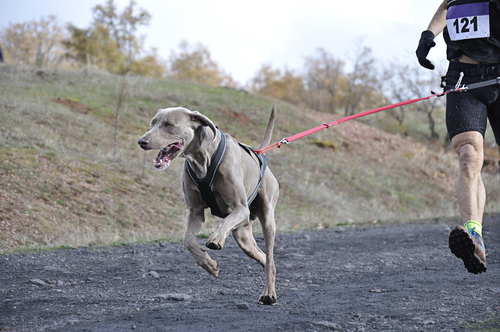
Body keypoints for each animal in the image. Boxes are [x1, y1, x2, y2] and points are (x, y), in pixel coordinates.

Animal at [139, 105, 280, 304]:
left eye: (168, 125)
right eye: (152, 123)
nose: (141, 141)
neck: (203, 160)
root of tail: (260, 154)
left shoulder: (241, 208)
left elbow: (224, 222)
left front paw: (215, 240)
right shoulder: (195, 211)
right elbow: (188, 240)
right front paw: (209, 264)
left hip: (267, 217)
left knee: (269, 255)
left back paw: (268, 293)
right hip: (243, 235)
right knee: (266, 259)